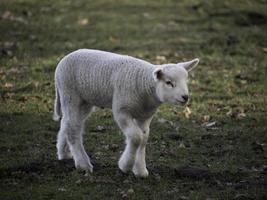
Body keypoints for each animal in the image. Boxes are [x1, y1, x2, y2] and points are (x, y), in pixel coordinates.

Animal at [53, 49, 200, 177]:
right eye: (169, 83)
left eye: (186, 81)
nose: (185, 97)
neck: (145, 86)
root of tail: (63, 60)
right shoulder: (121, 110)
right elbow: (136, 137)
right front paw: (126, 165)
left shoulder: (145, 116)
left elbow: (143, 139)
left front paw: (140, 170)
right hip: (70, 94)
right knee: (73, 128)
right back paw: (83, 165)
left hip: (84, 102)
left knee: (67, 123)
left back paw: (64, 153)